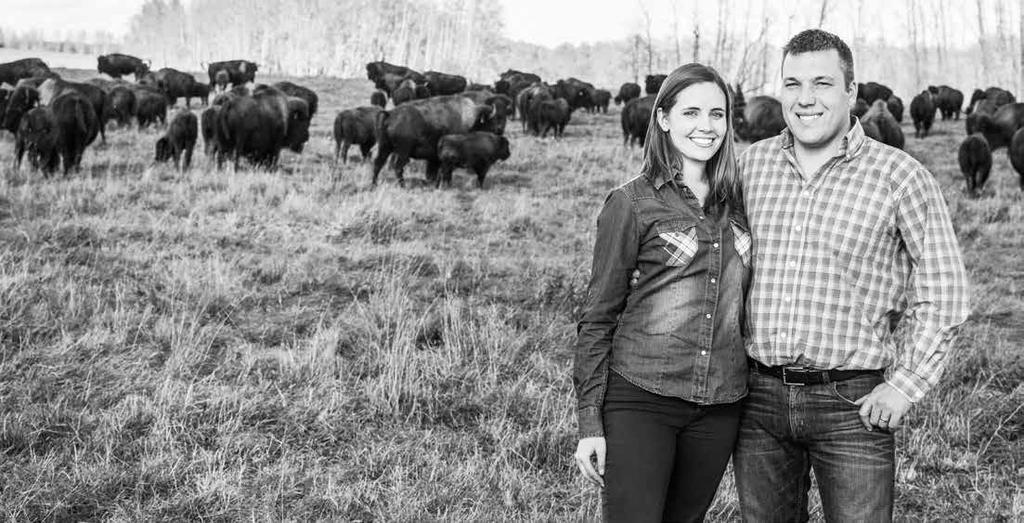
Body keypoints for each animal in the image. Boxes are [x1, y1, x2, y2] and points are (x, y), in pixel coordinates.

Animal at [374, 94, 505, 186]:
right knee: (398, 167)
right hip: (403, 151)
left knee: (378, 163)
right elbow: (444, 172)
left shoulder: (434, 158)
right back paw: (403, 186)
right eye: (491, 121)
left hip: (384, 146)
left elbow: (433, 172)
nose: (499, 131)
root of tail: (390, 114)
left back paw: (373, 185)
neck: (470, 119)